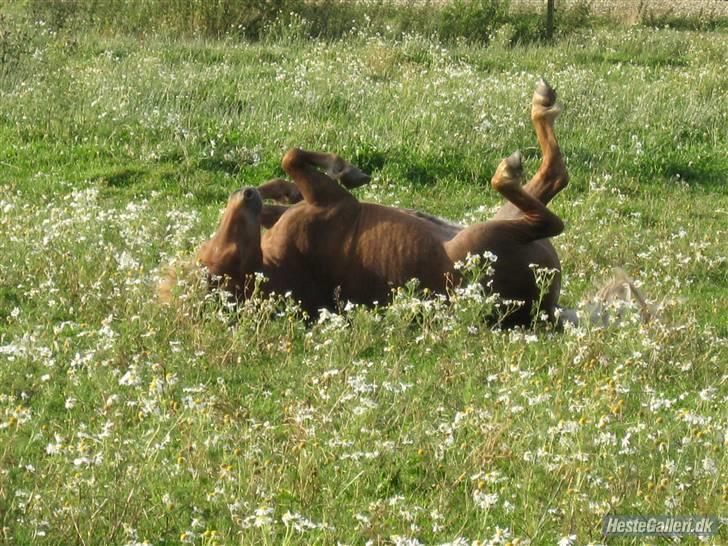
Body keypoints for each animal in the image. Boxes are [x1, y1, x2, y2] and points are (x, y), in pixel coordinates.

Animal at [195, 79, 568, 326]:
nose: (244, 195)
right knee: (552, 199)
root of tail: (542, 309)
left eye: (206, 250)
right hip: (489, 234)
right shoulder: (330, 201)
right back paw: (515, 156)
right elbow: (292, 158)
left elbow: (285, 176)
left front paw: (290, 187)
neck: (281, 265)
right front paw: (346, 169)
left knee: (550, 182)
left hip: (498, 217)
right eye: (231, 257)